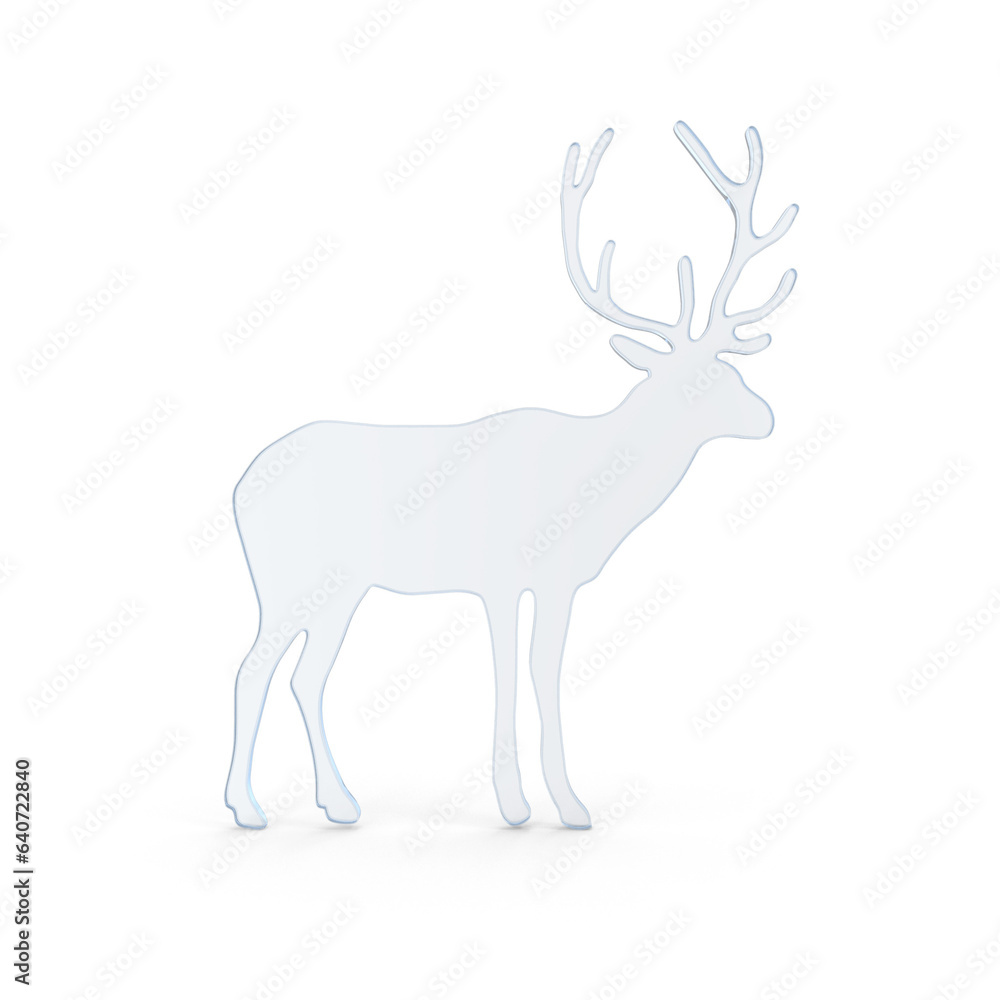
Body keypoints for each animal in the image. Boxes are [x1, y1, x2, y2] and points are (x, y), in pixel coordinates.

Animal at [225, 121, 797, 830]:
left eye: (732, 368)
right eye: (703, 379)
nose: (766, 417)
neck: (589, 487)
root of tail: (238, 487)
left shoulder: (557, 582)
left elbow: (541, 671)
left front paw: (562, 802)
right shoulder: (499, 576)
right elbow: (510, 672)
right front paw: (526, 806)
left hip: (341, 590)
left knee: (307, 675)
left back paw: (340, 803)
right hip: (286, 580)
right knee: (253, 668)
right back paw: (247, 808)